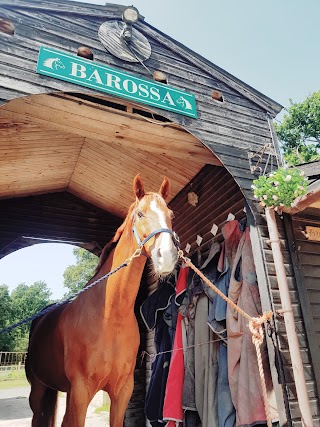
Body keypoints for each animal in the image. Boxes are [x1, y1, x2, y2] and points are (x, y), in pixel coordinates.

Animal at [25, 175, 179, 427]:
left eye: (171, 214)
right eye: (140, 214)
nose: (166, 256)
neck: (110, 315)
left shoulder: (122, 391)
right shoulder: (81, 391)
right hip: (38, 389)